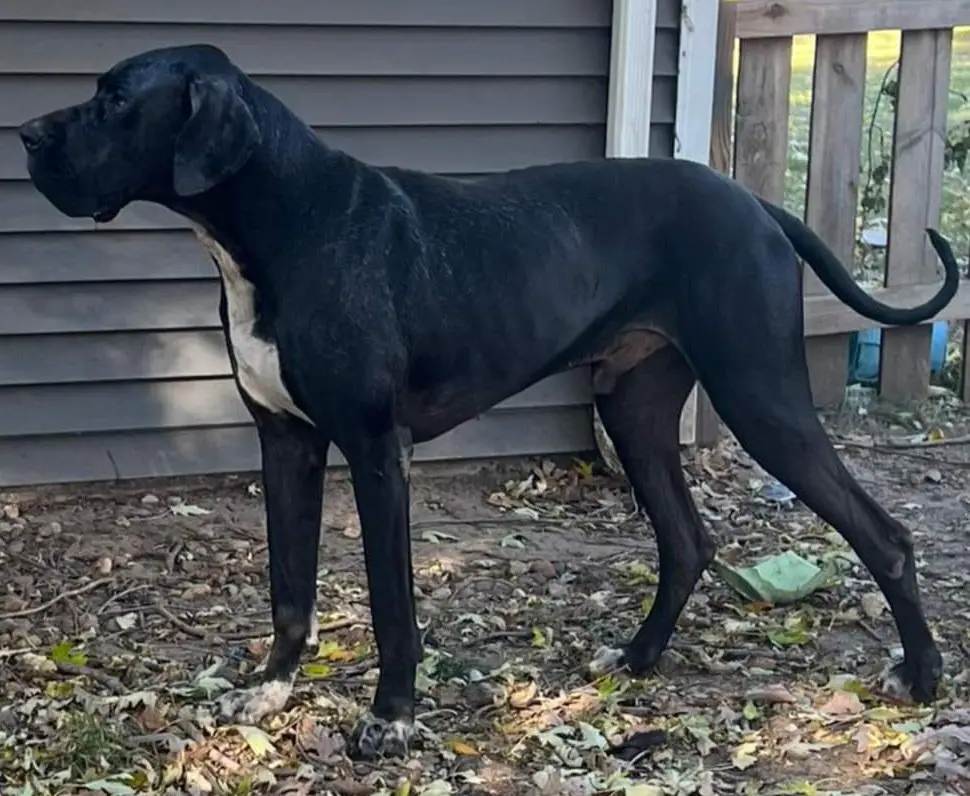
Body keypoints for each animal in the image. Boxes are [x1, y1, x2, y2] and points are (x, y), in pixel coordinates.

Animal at [18, 45, 956, 760]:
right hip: (637, 410)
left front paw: (391, 722)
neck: (286, 223)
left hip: (761, 396)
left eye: (114, 99)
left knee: (886, 534)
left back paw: (920, 675)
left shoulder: (375, 451)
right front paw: (270, 691)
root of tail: (757, 203)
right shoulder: (284, 442)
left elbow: (391, 605)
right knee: (688, 541)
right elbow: (289, 586)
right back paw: (636, 658)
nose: (25, 133)